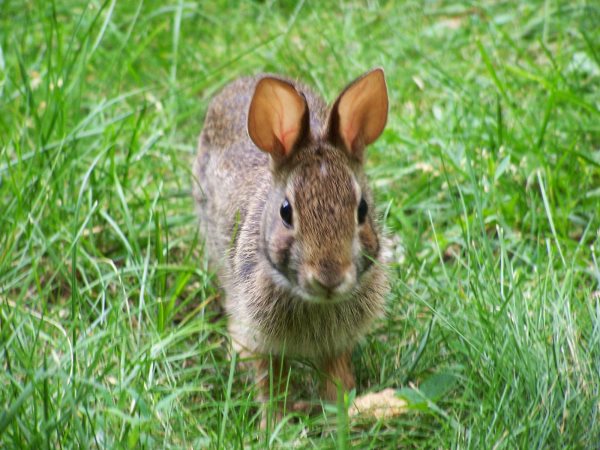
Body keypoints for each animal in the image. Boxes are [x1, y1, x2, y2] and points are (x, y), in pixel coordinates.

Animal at [192, 67, 390, 422]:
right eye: (286, 212)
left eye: (362, 209)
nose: (329, 277)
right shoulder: (262, 336)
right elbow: (270, 381)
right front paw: (275, 423)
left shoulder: (336, 343)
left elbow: (336, 375)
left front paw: (343, 413)